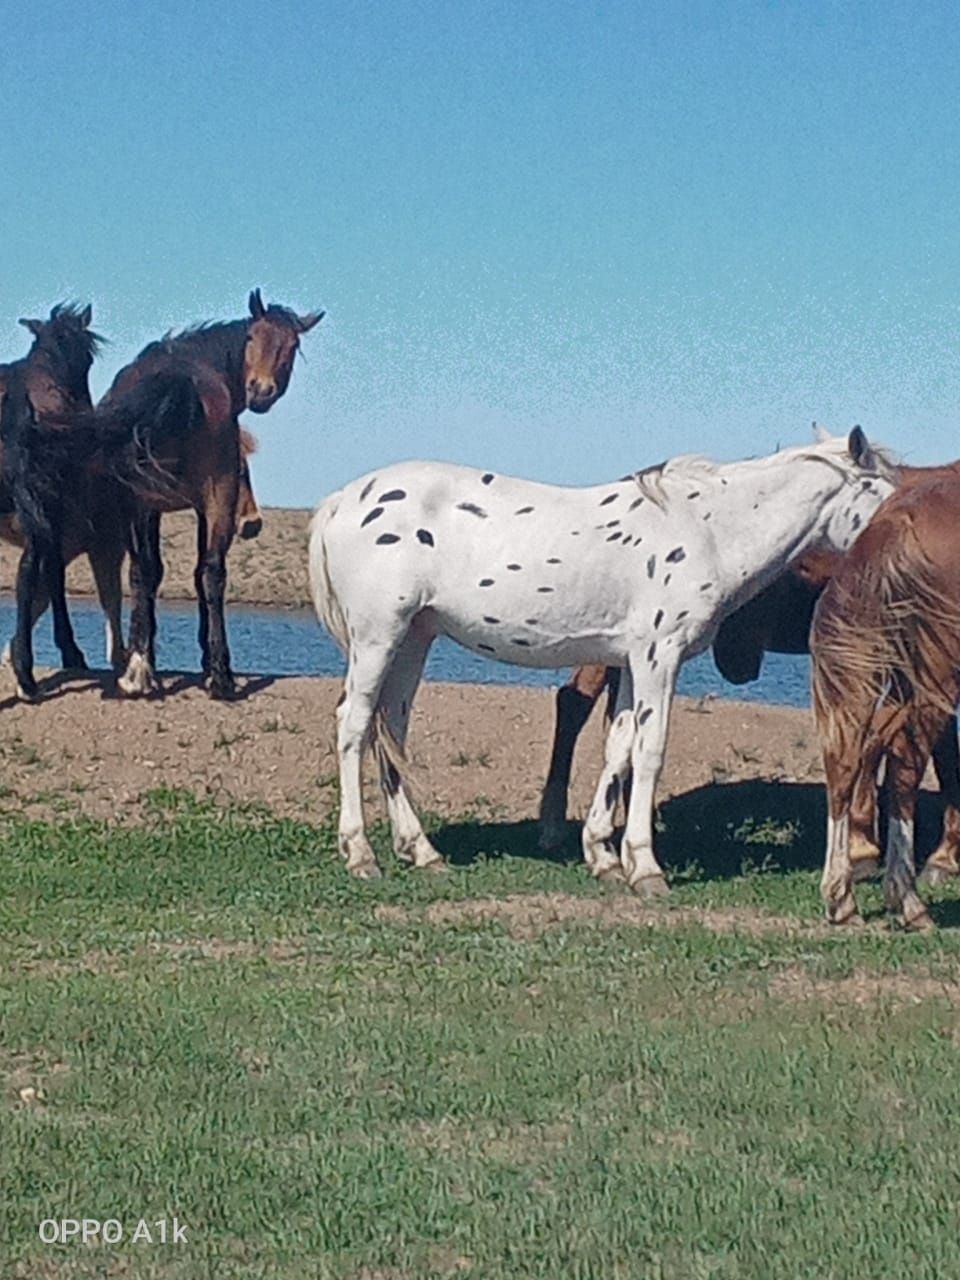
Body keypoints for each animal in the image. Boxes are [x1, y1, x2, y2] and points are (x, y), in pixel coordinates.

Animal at [94, 290, 325, 701]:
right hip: (203, 499)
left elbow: (160, 572)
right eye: (251, 336)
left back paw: (148, 671)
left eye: (292, 345)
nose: (260, 390)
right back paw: (214, 675)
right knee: (205, 572)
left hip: (150, 501)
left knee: (155, 571)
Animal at [312, 424, 901, 885]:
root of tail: (344, 499)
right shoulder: (660, 657)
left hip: (414, 637)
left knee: (390, 729)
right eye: (886, 495)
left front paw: (604, 855)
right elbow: (650, 750)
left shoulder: (629, 662)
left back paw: (422, 850)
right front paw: (645, 866)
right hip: (378, 636)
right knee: (353, 725)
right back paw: (361, 854)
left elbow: (619, 749)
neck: (708, 530)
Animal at [814, 460, 960, 931]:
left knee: (848, 759)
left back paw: (841, 897)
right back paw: (907, 899)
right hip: (934, 676)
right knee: (904, 766)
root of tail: (899, 518)